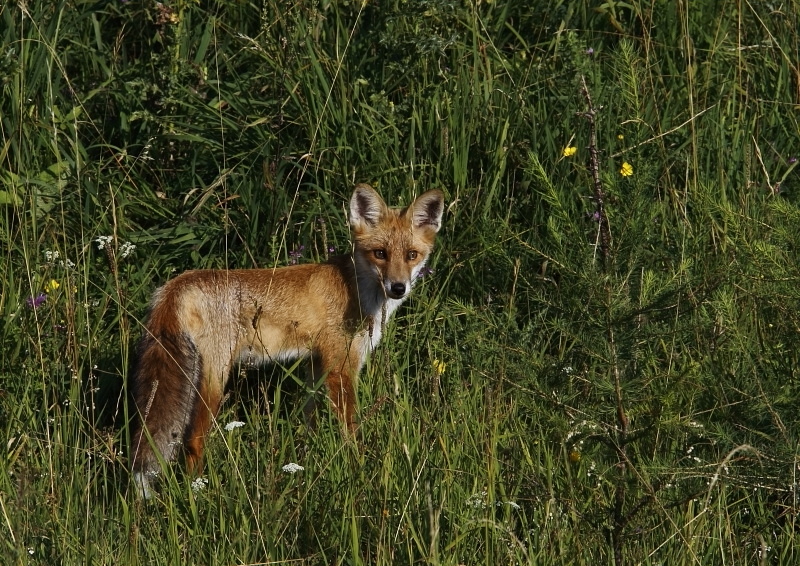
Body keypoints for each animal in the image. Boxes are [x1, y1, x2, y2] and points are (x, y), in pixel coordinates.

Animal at [128, 184, 446, 500]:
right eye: (380, 253)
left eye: (411, 255)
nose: (398, 288)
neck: (355, 288)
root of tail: (176, 285)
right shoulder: (340, 368)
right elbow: (351, 432)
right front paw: (359, 471)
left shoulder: (315, 366)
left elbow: (310, 425)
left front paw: (306, 465)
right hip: (215, 380)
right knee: (194, 442)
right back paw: (200, 493)